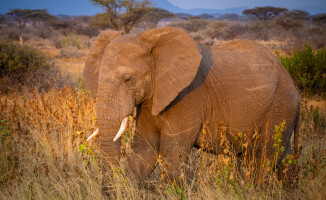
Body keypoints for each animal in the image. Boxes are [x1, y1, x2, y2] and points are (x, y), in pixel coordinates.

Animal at [84, 26, 300, 181]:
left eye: (127, 79)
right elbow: (145, 151)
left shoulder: (187, 97)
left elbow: (173, 156)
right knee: (282, 159)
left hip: (279, 107)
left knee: (264, 159)